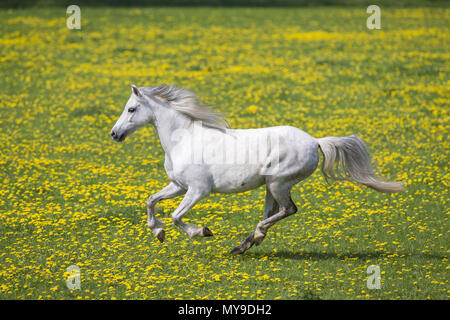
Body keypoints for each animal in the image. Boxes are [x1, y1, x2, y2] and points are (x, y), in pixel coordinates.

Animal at [110, 84, 406, 254]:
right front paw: (157, 232)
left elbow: (175, 216)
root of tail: (315, 141)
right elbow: (151, 201)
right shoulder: (178, 186)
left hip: (278, 183)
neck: (183, 139)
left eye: (131, 109)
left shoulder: (198, 190)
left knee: (288, 210)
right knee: (274, 212)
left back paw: (252, 239)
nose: (114, 134)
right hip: (270, 187)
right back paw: (245, 244)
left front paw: (201, 231)